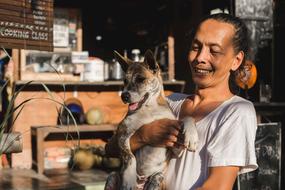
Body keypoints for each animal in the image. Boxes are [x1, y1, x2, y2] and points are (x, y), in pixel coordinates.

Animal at [104, 49, 197, 189]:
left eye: (141, 79)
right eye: (125, 81)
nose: (124, 96)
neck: (149, 109)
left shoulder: (176, 148)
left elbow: (187, 117)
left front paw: (192, 137)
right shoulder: (121, 133)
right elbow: (130, 157)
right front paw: (129, 179)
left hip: (158, 178)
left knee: (157, 177)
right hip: (112, 176)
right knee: (114, 174)